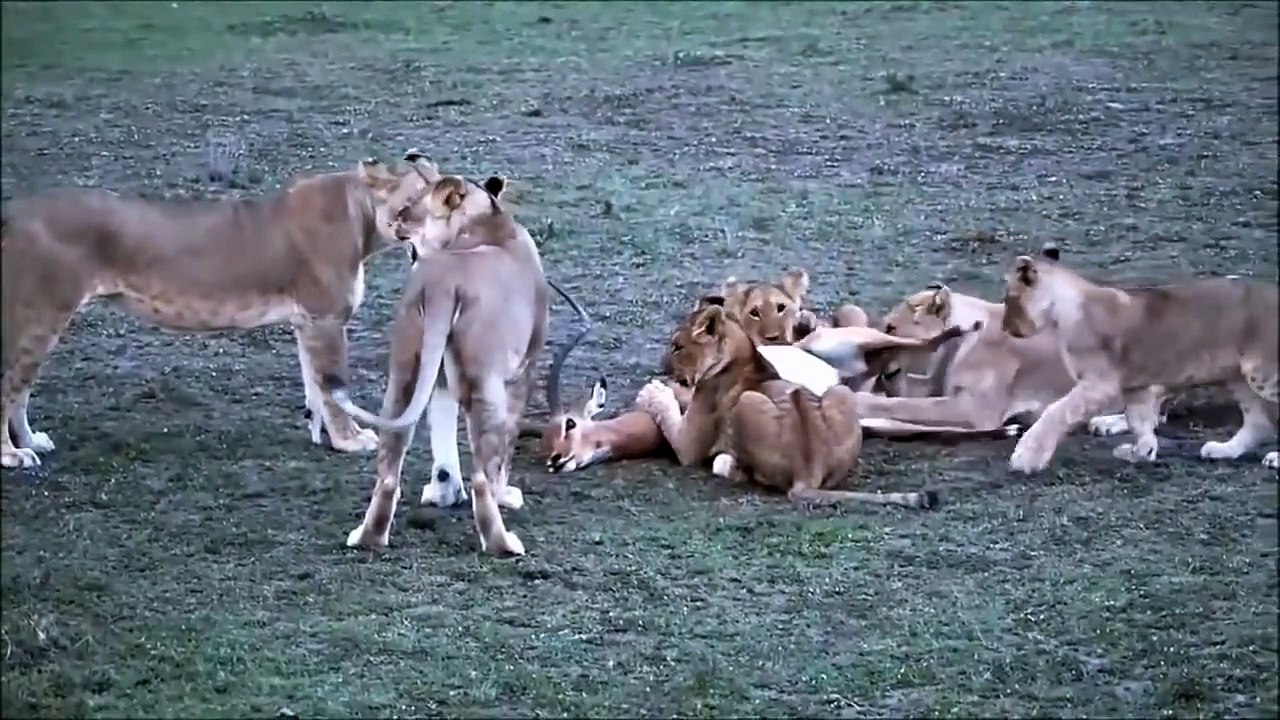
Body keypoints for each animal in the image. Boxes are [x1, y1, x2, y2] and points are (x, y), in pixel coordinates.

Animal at [0, 151, 450, 469]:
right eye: (416, 202)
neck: (362, 218)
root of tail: (14, 212)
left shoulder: (307, 321)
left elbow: (316, 388)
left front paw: (323, 434)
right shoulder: (326, 318)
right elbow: (333, 387)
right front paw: (352, 439)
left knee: (21, 389)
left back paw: (32, 441)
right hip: (39, 314)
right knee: (9, 385)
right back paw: (11, 455)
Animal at [327, 171, 547, 556]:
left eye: (408, 208)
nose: (393, 223)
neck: (483, 221)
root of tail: (444, 284)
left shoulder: (441, 379)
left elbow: (441, 434)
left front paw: (443, 493)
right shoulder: (524, 370)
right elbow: (505, 447)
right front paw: (506, 495)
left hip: (405, 377)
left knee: (388, 473)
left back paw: (369, 538)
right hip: (486, 385)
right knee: (482, 477)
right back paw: (502, 543)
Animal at [1000, 245, 1279, 473]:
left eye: (1008, 299)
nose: (1005, 328)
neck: (1064, 309)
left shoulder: (1099, 384)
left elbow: (1056, 412)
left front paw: (1027, 456)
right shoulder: (1136, 386)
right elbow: (1139, 421)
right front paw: (1141, 452)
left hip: (1263, 373)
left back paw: (1274, 458)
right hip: (1238, 377)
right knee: (1260, 422)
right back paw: (1223, 450)